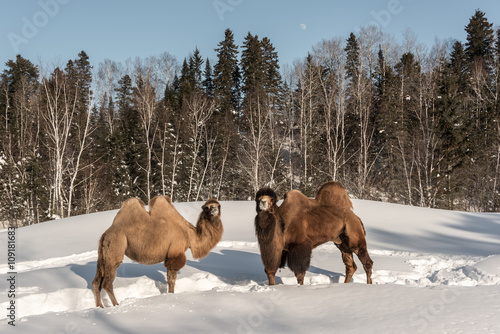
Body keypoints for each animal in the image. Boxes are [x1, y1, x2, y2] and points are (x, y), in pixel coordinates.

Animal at [91, 196, 223, 308]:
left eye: (218, 205)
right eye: (206, 207)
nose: (214, 210)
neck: (190, 235)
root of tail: (105, 235)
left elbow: (170, 279)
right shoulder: (175, 254)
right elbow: (172, 280)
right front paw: (171, 295)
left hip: (103, 255)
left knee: (96, 282)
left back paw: (100, 306)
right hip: (115, 248)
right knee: (107, 283)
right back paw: (116, 305)